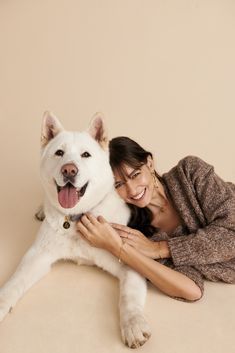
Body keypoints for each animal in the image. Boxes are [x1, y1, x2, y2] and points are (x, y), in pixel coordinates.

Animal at [0, 112, 151, 346]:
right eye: (59, 153)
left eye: (85, 154)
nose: (69, 169)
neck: (74, 218)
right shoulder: (37, 256)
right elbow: (14, 283)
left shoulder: (130, 261)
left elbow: (129, 297)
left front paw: (133, 324)